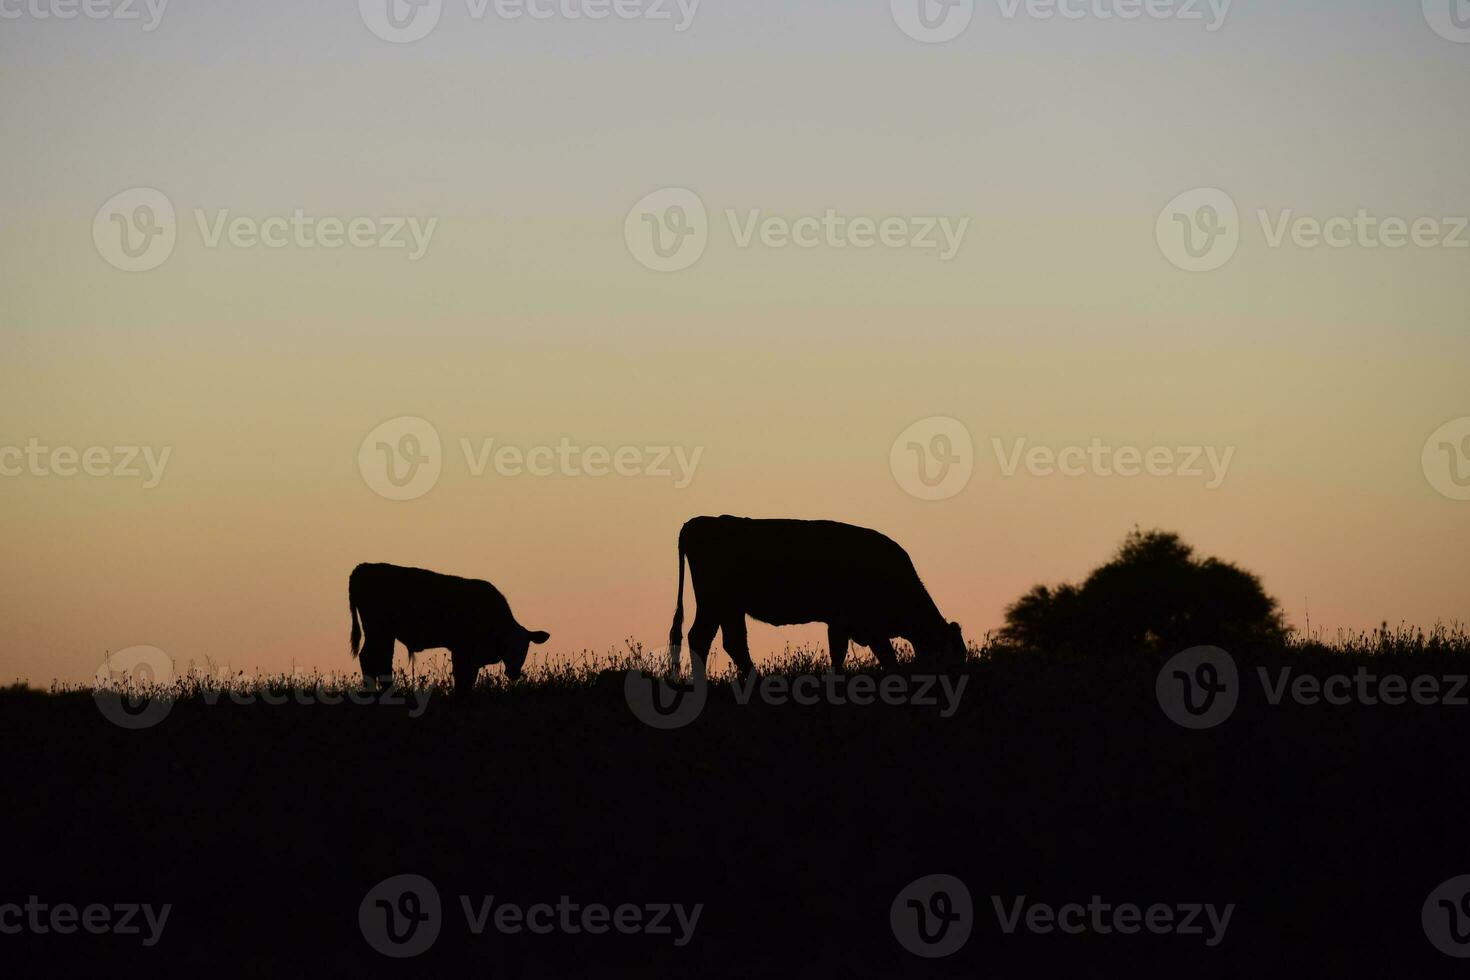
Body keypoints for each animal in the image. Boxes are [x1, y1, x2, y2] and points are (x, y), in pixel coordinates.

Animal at [346, 564, 549, 693]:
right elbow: (462, 677)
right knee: (371, 657)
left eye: (525, 648)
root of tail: (362, 567)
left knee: (380, 659)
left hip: (384, 634)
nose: (514, 672)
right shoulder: (462, 649)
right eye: (507, 647)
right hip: (378, 630)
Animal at [667, 517, 964, 678]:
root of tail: (698, 522)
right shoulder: (860, 624)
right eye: (953, 654)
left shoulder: (843, 623)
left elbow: (840, 654)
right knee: (703, 638)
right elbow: (880, 656)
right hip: (714, 603)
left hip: (728, 608)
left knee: (730, 642)